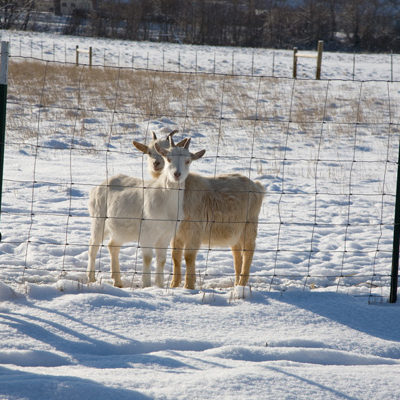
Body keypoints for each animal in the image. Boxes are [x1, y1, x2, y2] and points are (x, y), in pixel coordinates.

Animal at [86, 138, 205, 288]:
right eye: (168, 159)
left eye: (188, 161)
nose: (176, 174)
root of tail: (97, 188)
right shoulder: (146, 233)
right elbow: (148, 257)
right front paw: (147, 284)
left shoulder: (166, 235)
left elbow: (161, 259)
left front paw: (159, 285)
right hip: (98, 219)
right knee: (93, 246)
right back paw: (91, 278)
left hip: (119, 229)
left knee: (112, 245)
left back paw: (117, 281)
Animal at [134, 136, 266, 290]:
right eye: (168, 158)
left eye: (188, 161)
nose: (177, 174)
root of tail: (257, 186)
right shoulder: (176, 232)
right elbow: (175, 256)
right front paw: (174, 284)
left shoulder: (194, 229)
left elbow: (189, 256)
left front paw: (189, 286)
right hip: (235, 230)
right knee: (237, 254)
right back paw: (236, 283)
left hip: (249, 225)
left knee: (248, 251)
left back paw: (242, 284)